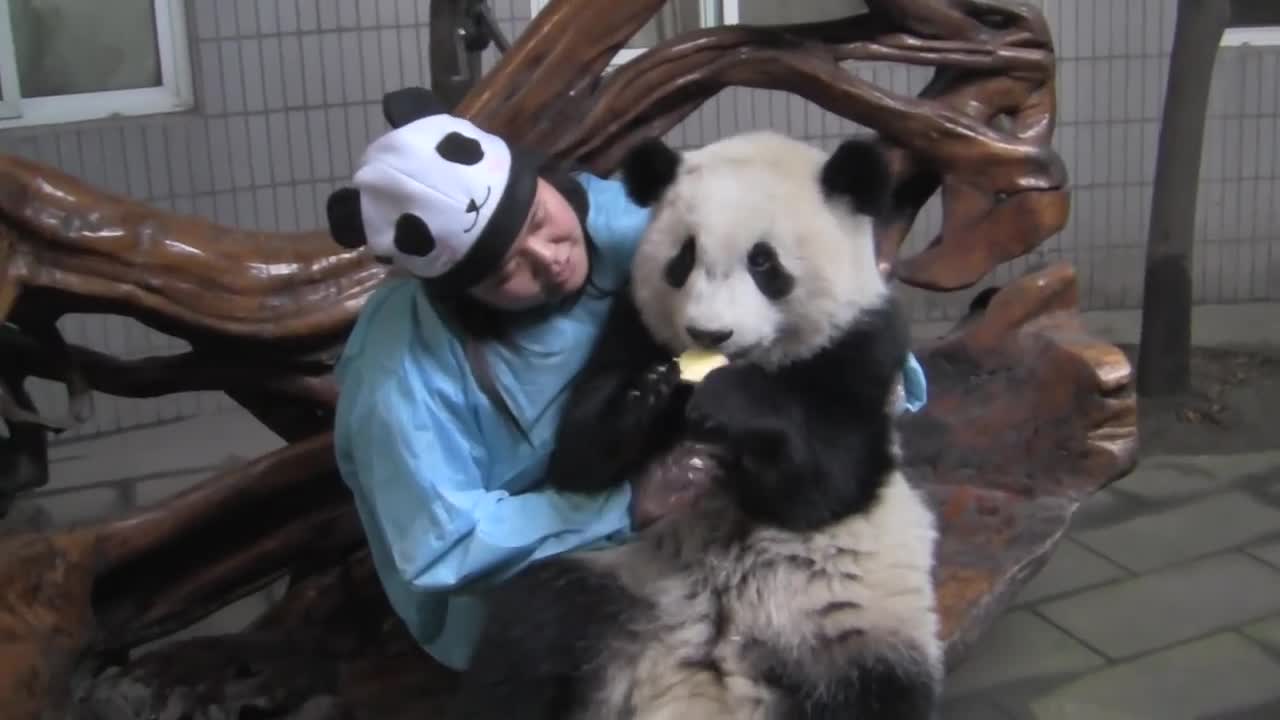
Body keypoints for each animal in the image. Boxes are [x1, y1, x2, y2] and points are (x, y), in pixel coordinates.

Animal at [448, 128, 942, 717]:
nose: (709, 333)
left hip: (852, 623)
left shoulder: (862, 347)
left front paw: (730, 400)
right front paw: (650, 393)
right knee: (529, 644)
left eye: (764, 263)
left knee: (873, 692)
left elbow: (828, 481)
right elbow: (577, 459)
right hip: (605, 574)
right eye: (682, 258)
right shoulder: (630, 326)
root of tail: (694, 677)